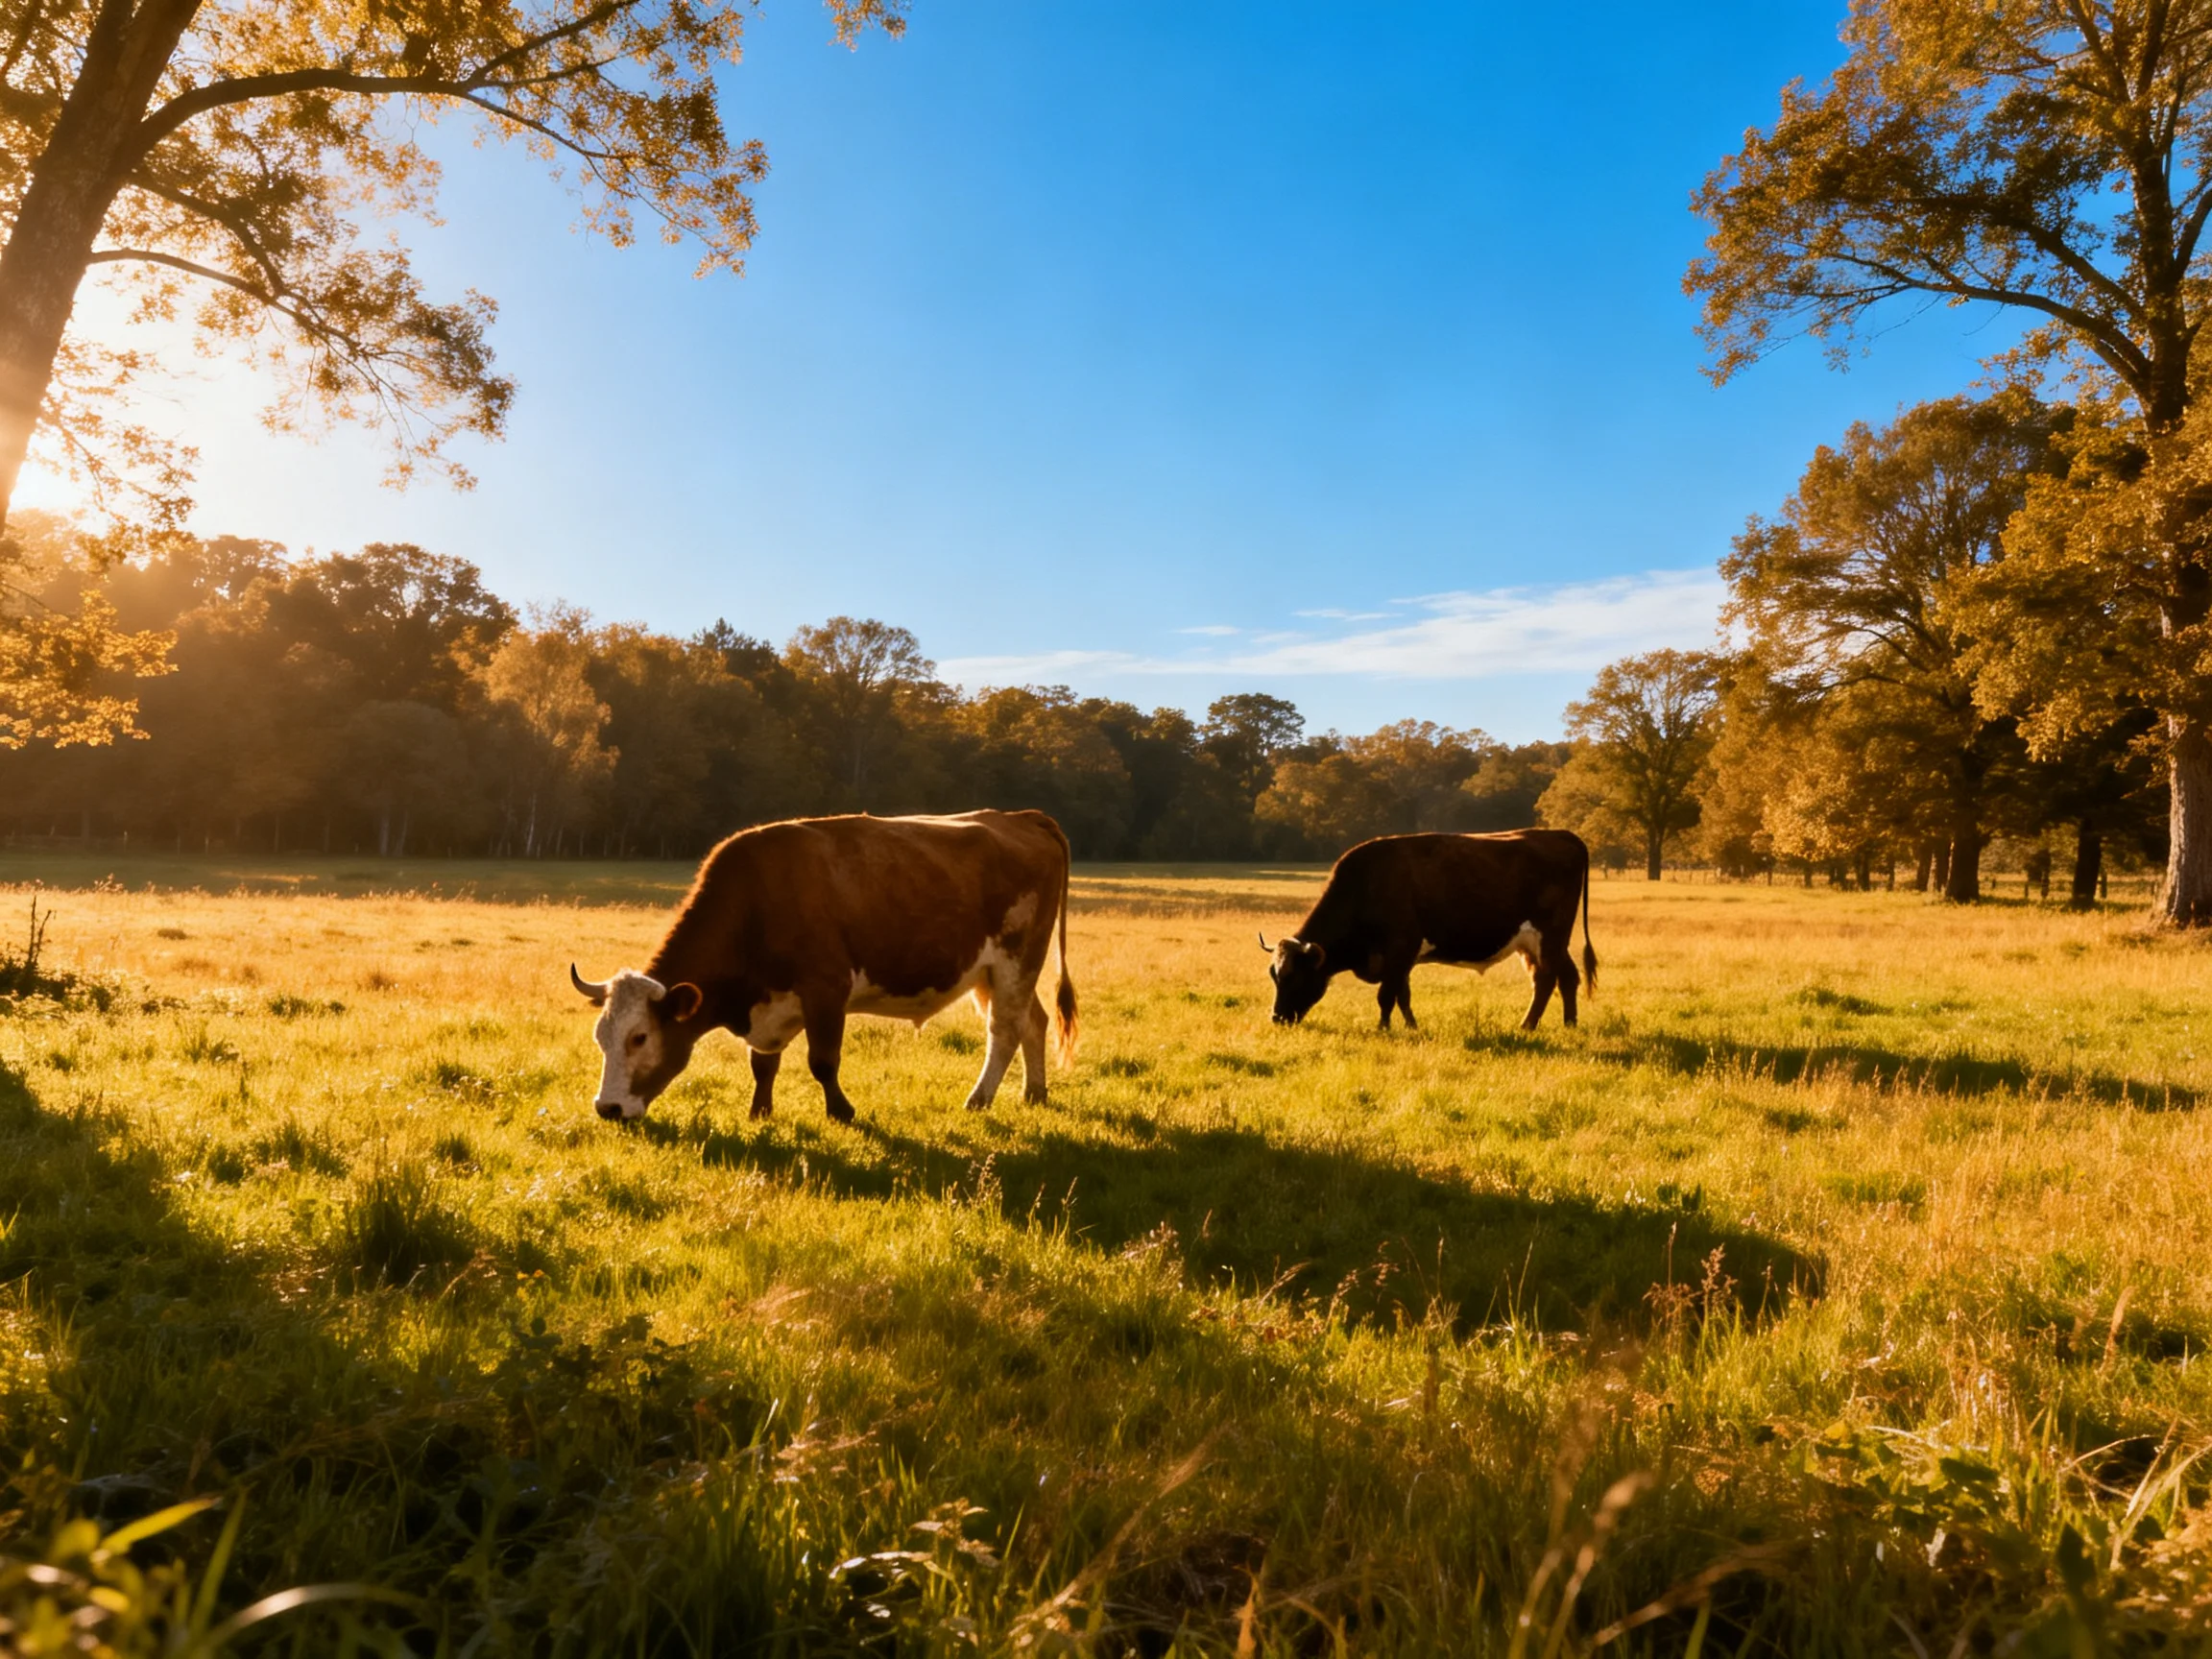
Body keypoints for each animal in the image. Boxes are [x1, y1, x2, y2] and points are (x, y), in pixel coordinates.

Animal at [570, 809, 1076, 1124]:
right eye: (600, 1037)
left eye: (640, 1037)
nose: (607, 1109)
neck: (757, 901)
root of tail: (1020, 817)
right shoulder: (772, 1005)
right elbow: (763, 1064)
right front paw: (760, 1112)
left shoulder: (826, 990)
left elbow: (823, 1061)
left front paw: (841, 1112)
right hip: (991, 973)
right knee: (1033, 1021)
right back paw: (1035, 1092)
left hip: (1017, 959)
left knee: (1004, 1030)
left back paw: (979, 1099)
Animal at [1263, 829, 1595, 1032]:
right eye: (1274, 976)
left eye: (1295, 976)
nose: (1276, 1017)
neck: (1366, 884)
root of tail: (1560, 835)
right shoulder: (1401, 960)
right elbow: (1403, 995)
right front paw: (1412, 1027)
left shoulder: (1400, 948)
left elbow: (1386, 996)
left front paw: (1383, 1028)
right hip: (1541, 944)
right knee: (1567, 977)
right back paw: (1569, 1024)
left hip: (1549, 938)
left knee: (1546, 980)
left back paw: (1527, 1025)